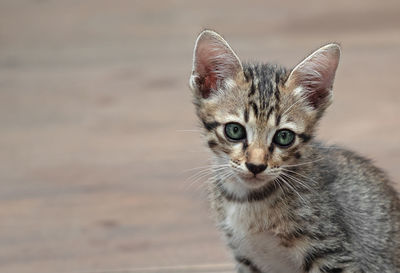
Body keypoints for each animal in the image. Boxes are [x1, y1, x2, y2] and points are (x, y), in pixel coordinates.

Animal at [188, 29, 400, 272]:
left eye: (284, 137)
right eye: (234, 130)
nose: (256, 166)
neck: (246, 200)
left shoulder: (331, 251)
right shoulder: (246, 257)